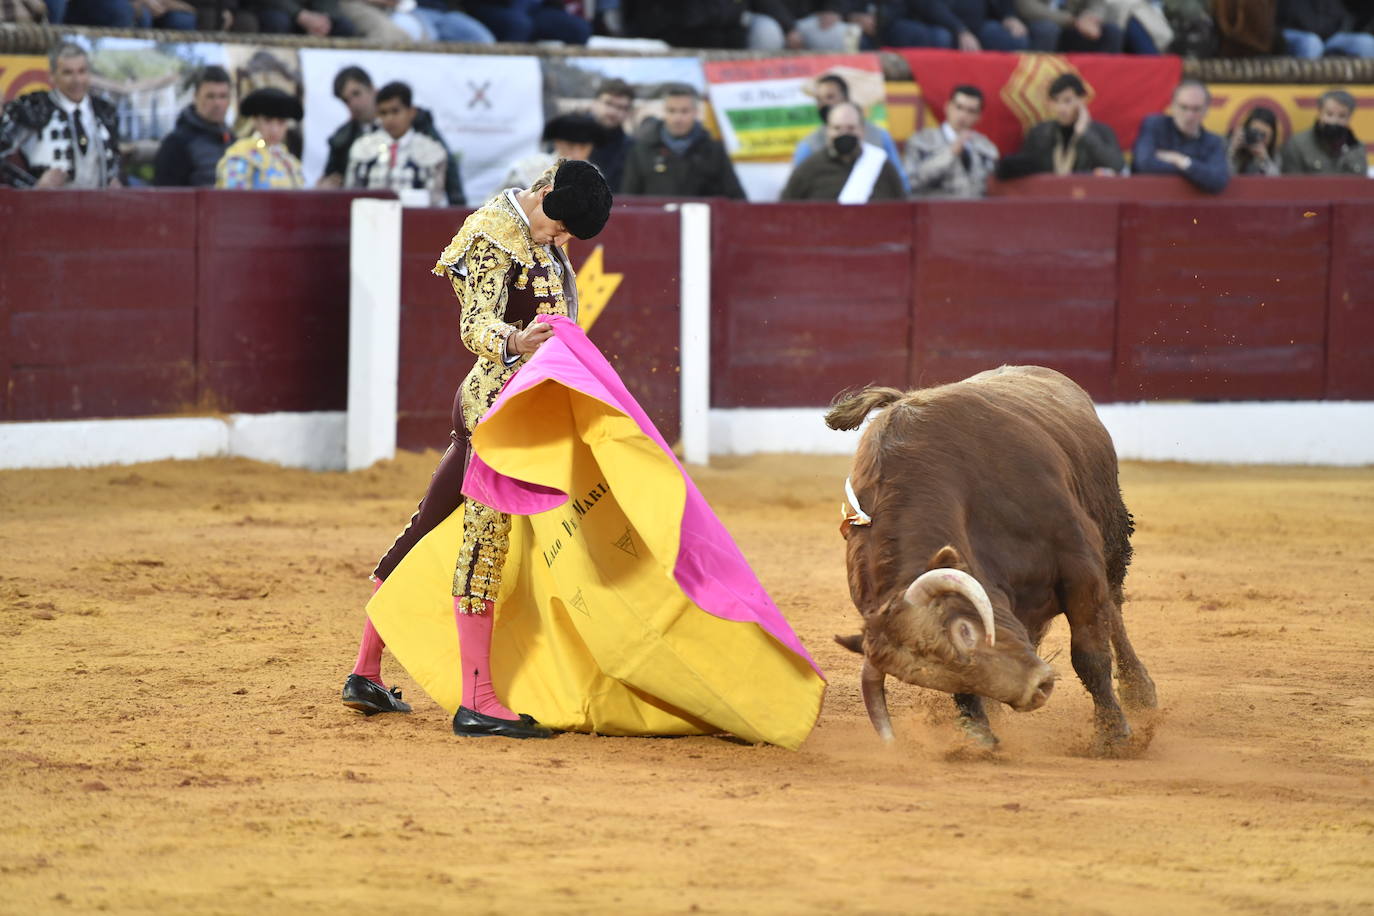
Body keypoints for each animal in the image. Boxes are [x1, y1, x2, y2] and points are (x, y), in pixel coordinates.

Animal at [824, 362, 1159, 758]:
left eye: (965, 630)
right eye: (929, 678)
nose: (1037, 689)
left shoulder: (1079, 563)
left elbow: (1089, 655)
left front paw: (1113, 736)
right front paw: (978, 733)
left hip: (1112, 539)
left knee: (1114, 610)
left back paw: (1140, 694)